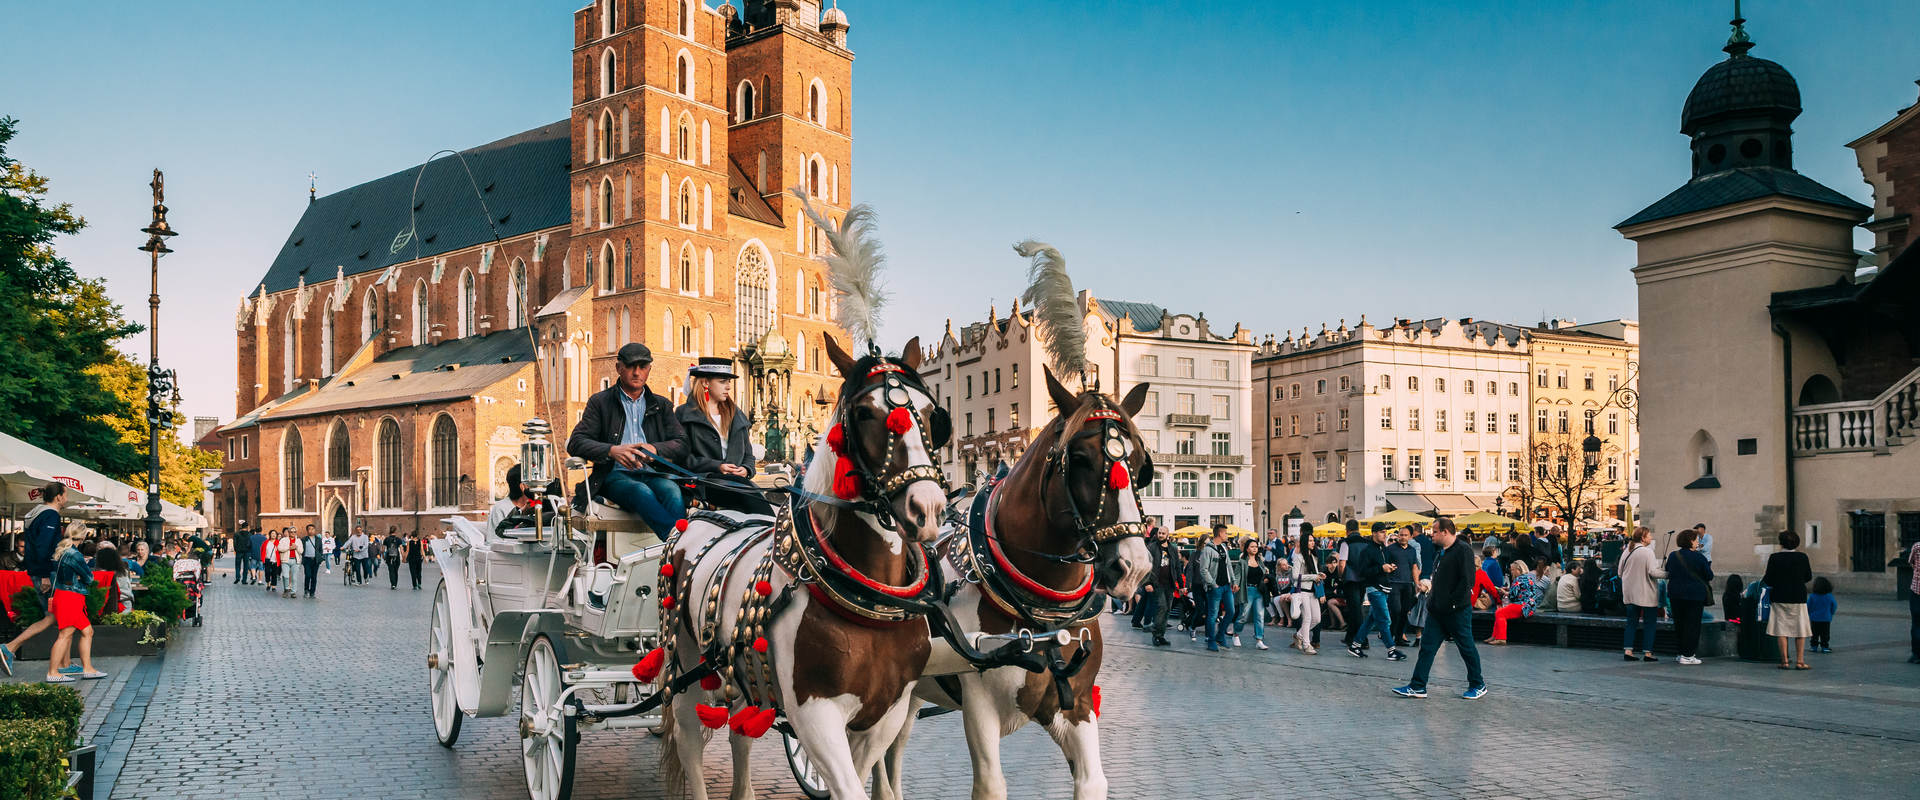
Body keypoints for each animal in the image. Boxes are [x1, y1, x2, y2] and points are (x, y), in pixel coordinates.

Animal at [656, 333, 948, 794]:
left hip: (741, 674)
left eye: (932, 414)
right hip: (685, 668)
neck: (865, 600)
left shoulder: (888, 714)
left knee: (740, 732)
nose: (928, 509)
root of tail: (699, 516)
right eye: (864, 413)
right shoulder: (815, 717)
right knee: (689, 745)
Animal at [890, 368, 1144, 798]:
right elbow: (991, 784)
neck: (1041, 617)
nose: (1134, 566)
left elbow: (1093, 780)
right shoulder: (980, 709)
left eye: (1142, 463)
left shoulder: (1076, 707)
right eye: (1079, 459)